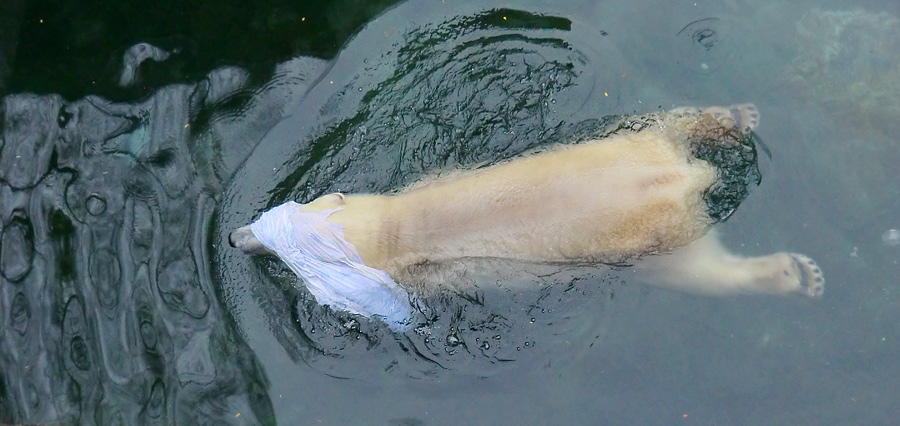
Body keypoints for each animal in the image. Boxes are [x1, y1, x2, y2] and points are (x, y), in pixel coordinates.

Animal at [230, 103, 824, 330]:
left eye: (276, 248)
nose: (234, 237)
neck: (401, 224)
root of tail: (687, 181)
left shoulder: (426, 272)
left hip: (658, 242)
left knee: (703, 276)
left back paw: (796, 274)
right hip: (633, 143)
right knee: (661, 122)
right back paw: (732, 117)